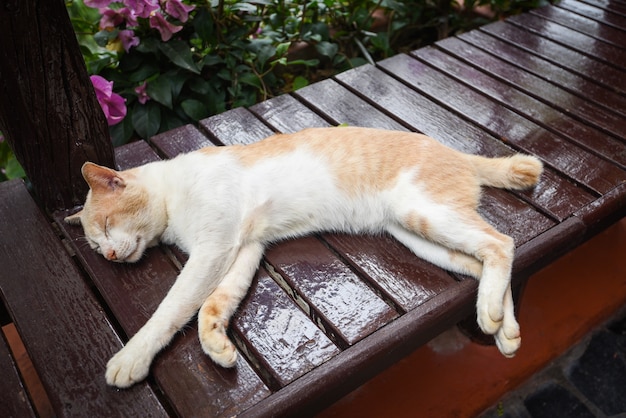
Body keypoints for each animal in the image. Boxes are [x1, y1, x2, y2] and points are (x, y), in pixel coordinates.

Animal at [66, 126, 540, 388]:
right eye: (96, 246)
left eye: (105, 226)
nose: (110, 254)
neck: (172, 192)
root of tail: (456, 153)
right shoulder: (243, 248)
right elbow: (213, 305)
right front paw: (216, 344)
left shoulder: (213, 248)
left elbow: (172, 309)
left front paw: (132, 358)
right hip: (416, 234)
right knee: (484, 260)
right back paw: (503, 327)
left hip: (422, 212)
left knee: (503, 242)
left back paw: (492, 314)